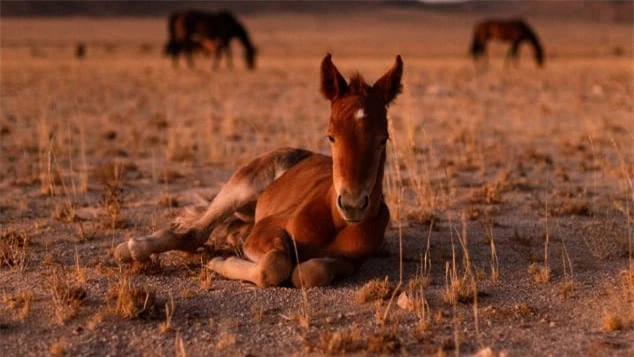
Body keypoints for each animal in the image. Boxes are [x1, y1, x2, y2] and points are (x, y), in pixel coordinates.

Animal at [114, 53, 402, 286]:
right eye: (331, 136)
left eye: (383, 139)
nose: (353, 205)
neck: (335, 219)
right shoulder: (266, 229)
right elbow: (276, 263)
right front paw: (221, 263)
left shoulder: (352, 261)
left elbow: (309, 272)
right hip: (242, 186)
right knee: (194, 233)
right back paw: (130, 249)